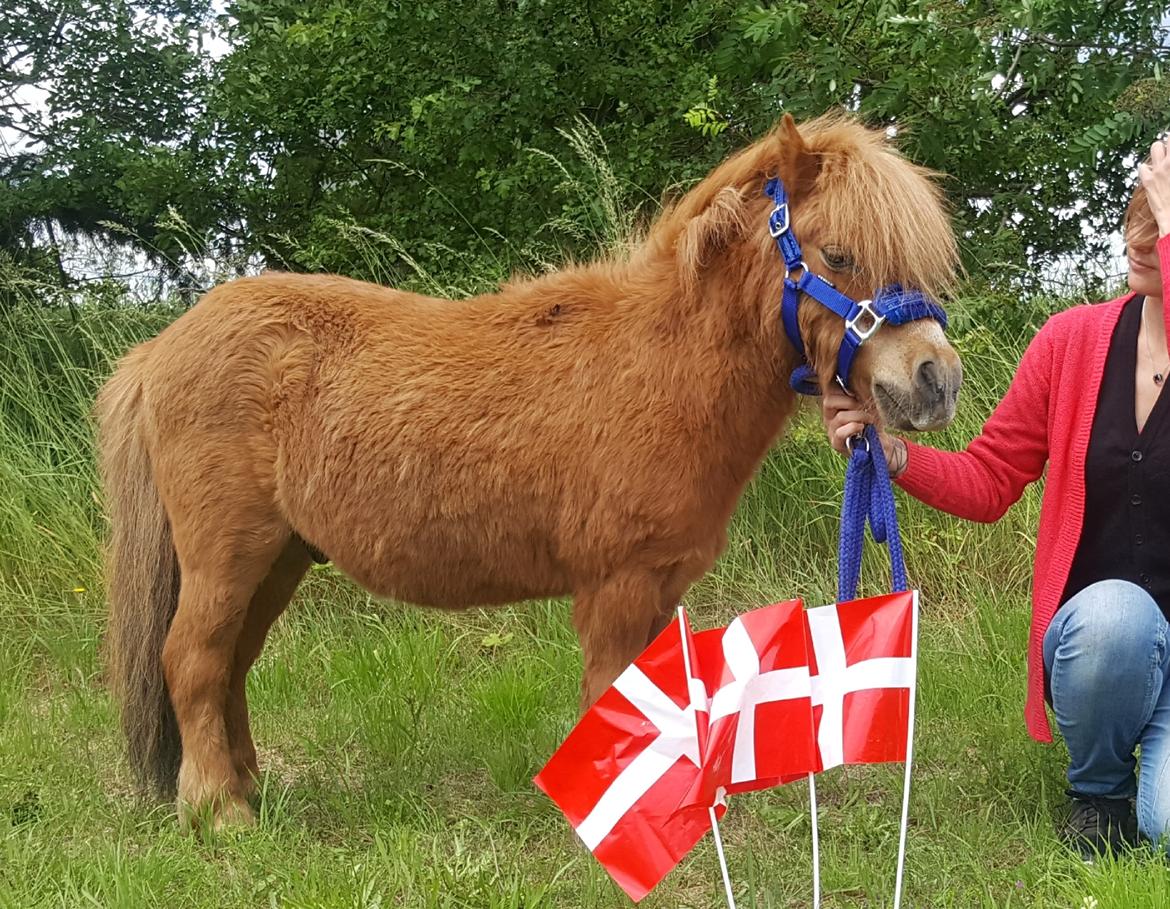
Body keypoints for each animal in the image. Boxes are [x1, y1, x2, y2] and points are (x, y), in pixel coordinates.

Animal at [98, 111, 959, 823]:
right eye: (838, 253)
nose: (935, 381)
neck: (660, 365)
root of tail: (160, 349)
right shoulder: (617, 585)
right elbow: (612, 693)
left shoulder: (660, 585)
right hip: (227, 555)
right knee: (193, 659)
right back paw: (220, 811)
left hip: (276, 558)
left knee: (232, 663)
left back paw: (248, 786)